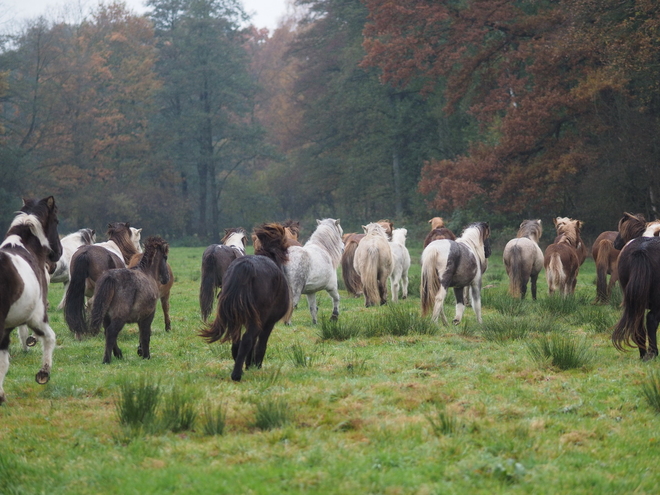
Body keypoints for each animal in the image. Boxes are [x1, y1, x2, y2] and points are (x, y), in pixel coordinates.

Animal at [87, 236, 170, 364]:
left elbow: (142, 334)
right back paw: (107, 359)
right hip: (119, 317)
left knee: (107, 332)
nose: (166, 278)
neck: (147, 272)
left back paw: (118, 354)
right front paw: (146, 355)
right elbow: (145, 335)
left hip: (106, 316)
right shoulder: (148, 315)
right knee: (111, 332)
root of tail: (111, 278)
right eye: (165, 257)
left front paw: (141, 351)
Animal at [200, 223, 290, 382]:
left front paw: (248, 364)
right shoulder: (267, 322)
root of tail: (246, 266)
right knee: (247, 340)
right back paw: (237, 374)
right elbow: (260, 344)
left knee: (237, 341)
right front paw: (255, 364)